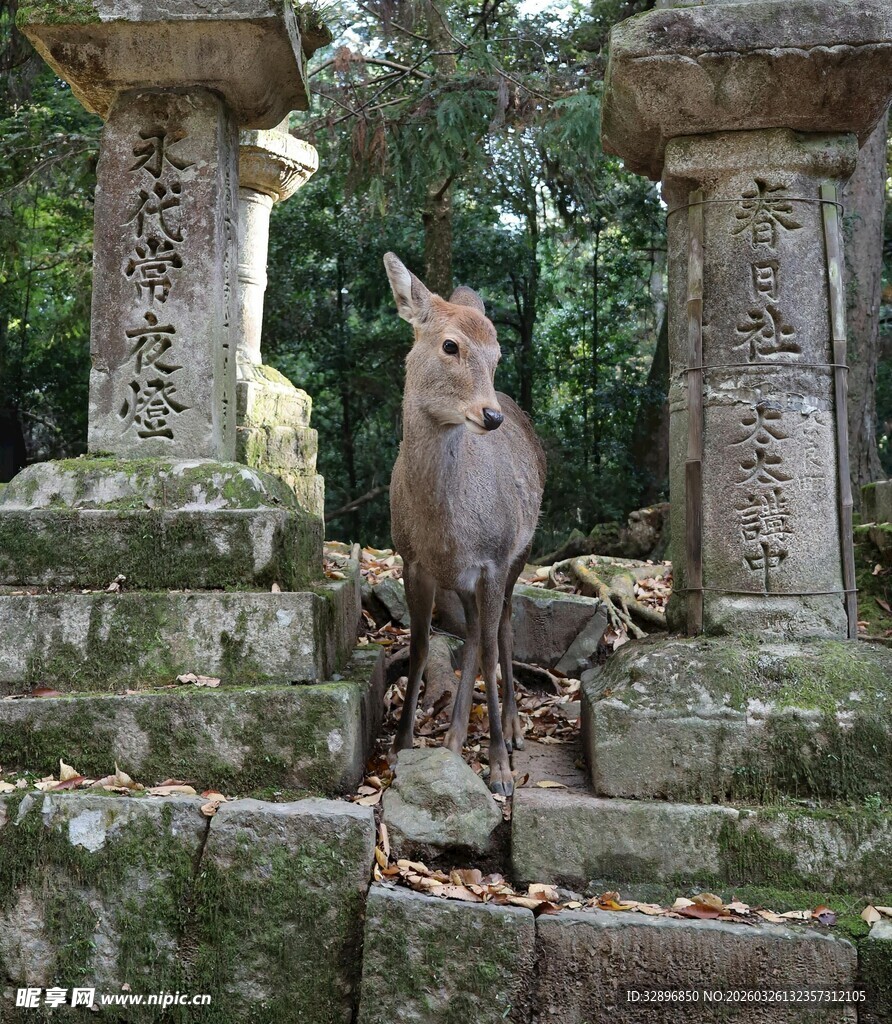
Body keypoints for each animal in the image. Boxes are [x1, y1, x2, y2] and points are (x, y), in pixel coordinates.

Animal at [383, 253, 546, 796]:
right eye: (450, 345)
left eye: (497, 354)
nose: (491, 416)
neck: (444, 528)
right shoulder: (412, 561)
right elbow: (418, 649)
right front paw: (401, 746)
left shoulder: (493, 559)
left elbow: (495, 649)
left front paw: (499, 769)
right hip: (461, 581)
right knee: (474, 633)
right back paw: (453, 739)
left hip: (522, 552)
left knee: (505, 629)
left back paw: (512, 729)